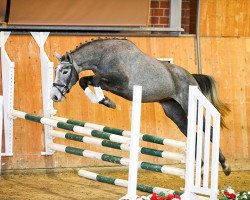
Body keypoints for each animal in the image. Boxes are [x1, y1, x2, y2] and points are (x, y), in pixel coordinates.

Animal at [50, 37, 230, 175]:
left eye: (65, 71)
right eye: (56, 71)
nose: (54, 96)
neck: (105, 56)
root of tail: (191, 77)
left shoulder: (120, 83)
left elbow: (95, 79)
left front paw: (107, 102)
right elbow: (84, 80)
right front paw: (103, 101)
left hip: (191, 105)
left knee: (209, 130)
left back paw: (225, 166)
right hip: (174, 112)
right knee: (192, 133)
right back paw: (201, 168)